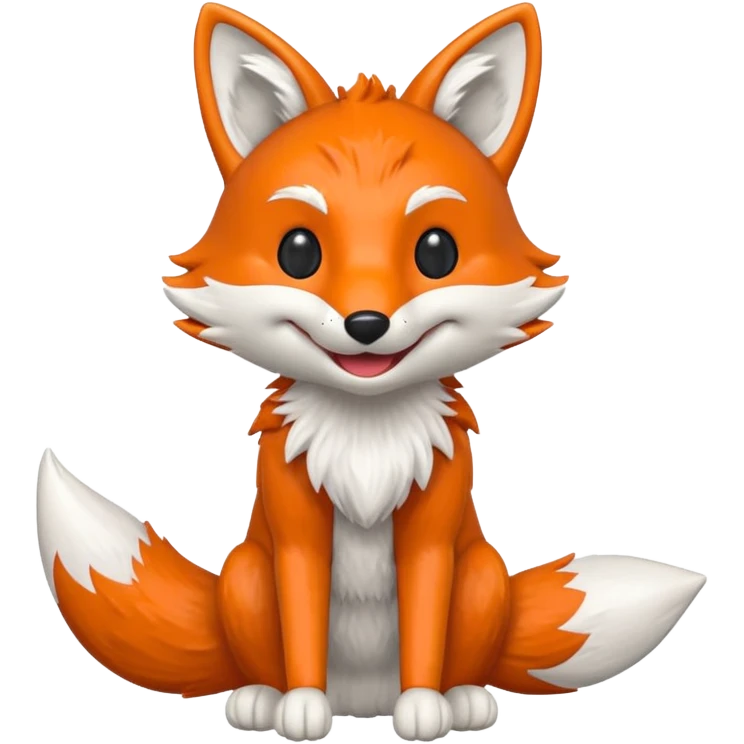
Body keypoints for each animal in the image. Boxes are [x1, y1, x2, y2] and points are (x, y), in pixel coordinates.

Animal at [34, 2, 707, 742]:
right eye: (298, 252)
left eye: (436, 251)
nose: (367, 324)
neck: (365, 436)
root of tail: (363, 700)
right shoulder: (296, 537)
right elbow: (302, 622)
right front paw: (302, 706)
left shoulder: (432, 537)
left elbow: (424, 622)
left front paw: (424, 708)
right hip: (245, 578)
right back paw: (262, 699)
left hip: (482, 579)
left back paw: (462, 698)